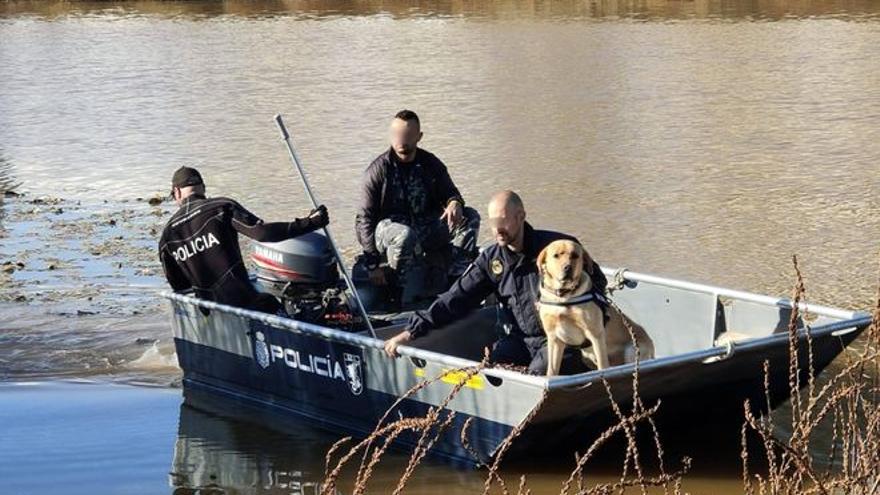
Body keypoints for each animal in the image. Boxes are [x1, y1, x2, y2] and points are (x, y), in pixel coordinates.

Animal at [536, 240, 652, 376]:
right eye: (556, 255)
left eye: (575, 255)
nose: (567, 267)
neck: (564, 296)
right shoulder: (554, 338)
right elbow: (552, 370)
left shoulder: (595, 334)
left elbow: (603, 366)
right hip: (587, 357)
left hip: (631, 350)